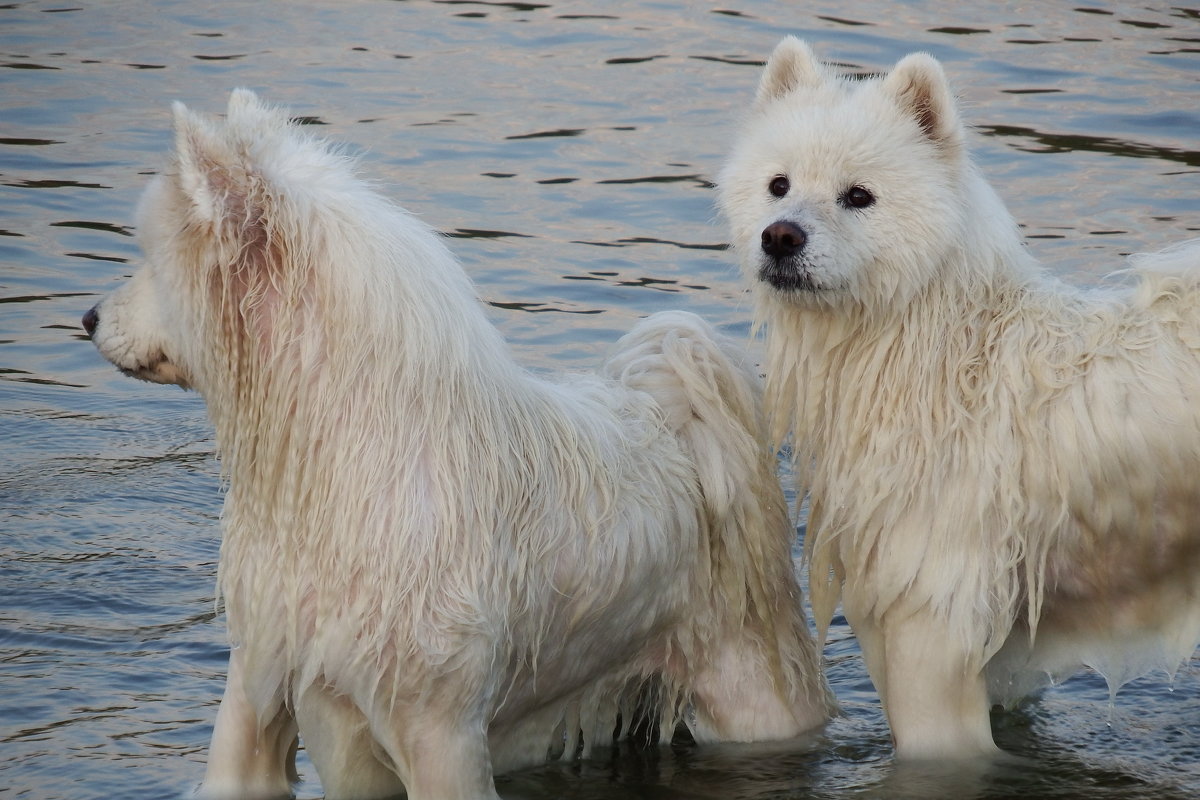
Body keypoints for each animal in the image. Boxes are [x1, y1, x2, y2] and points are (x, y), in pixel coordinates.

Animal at [82, 90, 835, 796]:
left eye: (150, 260)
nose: (87, 317)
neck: (342, 454)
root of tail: (675, 405)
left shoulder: (438, 732)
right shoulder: (258, 686)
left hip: (753, 697)